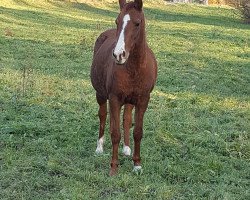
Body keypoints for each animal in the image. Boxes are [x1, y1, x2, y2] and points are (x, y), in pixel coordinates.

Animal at [90, 0, 156, 175]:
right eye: (117, 21)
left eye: (137, 23)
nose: (119, 55)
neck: (134, 68)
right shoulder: (114, 99)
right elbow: (115, 133)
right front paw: (113, 167)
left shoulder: (143, 100)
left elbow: (137, 132)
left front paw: (137, 164)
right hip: (101, 95)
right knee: (103, 115)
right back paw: (99, 147)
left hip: (129, 101)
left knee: (126, 119)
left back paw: (126, 149)